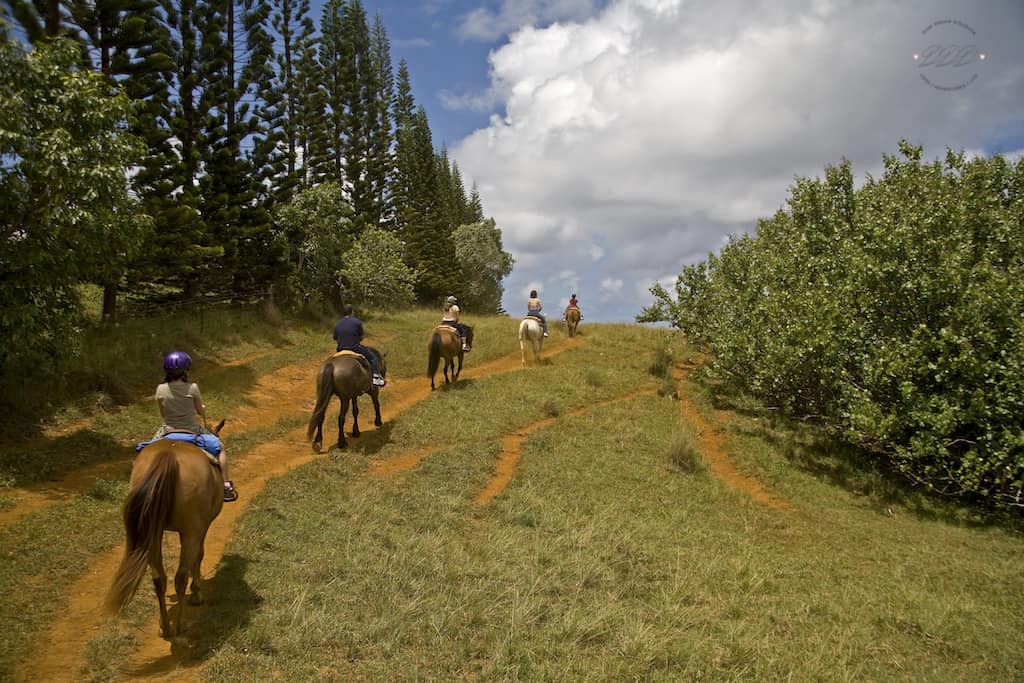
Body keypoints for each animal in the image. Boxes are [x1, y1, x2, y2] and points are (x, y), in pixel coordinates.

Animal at [105, 419, 226, 638]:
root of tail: (168, 456)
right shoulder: (201, 527)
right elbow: (200, 555)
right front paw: (197, 594)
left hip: (153, 532)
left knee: (158, 578)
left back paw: (165, 626)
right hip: (190, 531)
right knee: (180, 576)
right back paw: (180, 626)